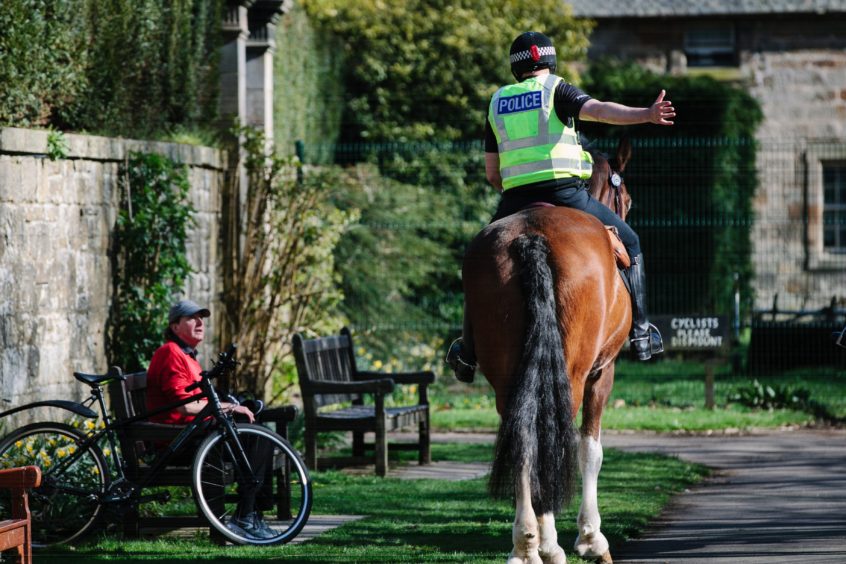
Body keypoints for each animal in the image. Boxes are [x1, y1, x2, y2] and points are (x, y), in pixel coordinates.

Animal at [464, 138, 636, 564]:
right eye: (626, 197)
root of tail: (532, 237)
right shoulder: (602, 373)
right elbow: (589, 449)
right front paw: (591, 538)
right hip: (573, 375)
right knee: (552, 439)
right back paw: (547, 543)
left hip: (506, 376)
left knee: (524, 436)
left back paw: (526, 543)